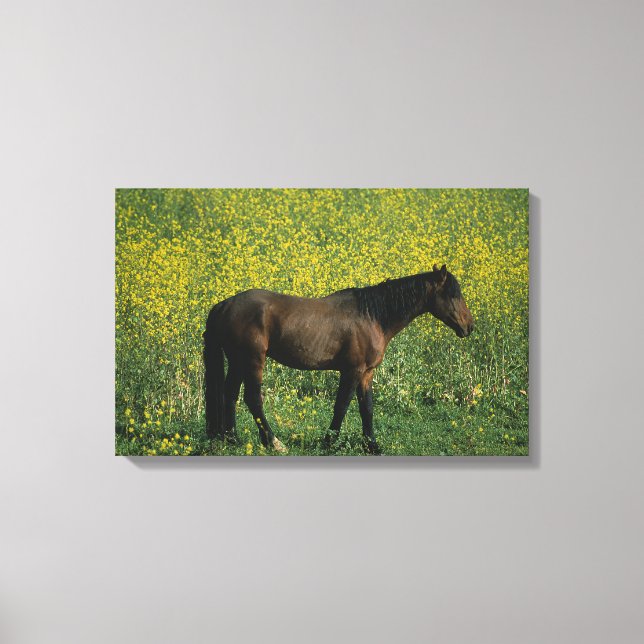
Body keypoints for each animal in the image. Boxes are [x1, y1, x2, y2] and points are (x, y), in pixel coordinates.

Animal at [203, 264, 474, 455]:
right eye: (453, 295)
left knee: (230, 394)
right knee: (252, 399)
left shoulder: (366, 373)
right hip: (252, 360)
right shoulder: (352, 371)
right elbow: (342, 405)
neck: (372, 316)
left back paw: (232, 438)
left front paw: (372, 445)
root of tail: (224, 305)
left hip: (238, 361)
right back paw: (274, 442)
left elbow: (367, 409)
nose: (469, 327)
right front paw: (329, 441)